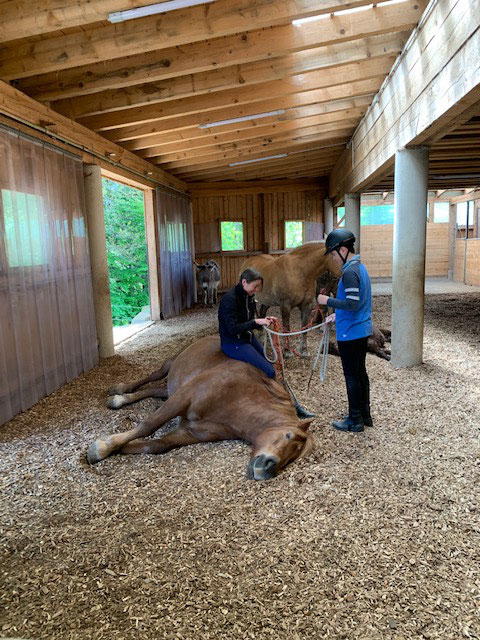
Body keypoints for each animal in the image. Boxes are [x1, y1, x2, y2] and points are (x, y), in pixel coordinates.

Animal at [86, 336, 314, 480]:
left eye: (293, 458)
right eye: (288, 436)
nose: (269, 467)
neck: (241, 400)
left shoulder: (190, 432)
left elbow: (156, 446)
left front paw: (115, 449)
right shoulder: (183, 398)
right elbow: (148, 426)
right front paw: (102, 448)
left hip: (172, 389)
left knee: (156, 391)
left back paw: (120, 399)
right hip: (169, 366)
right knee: (152, 377)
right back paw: (120, 390)